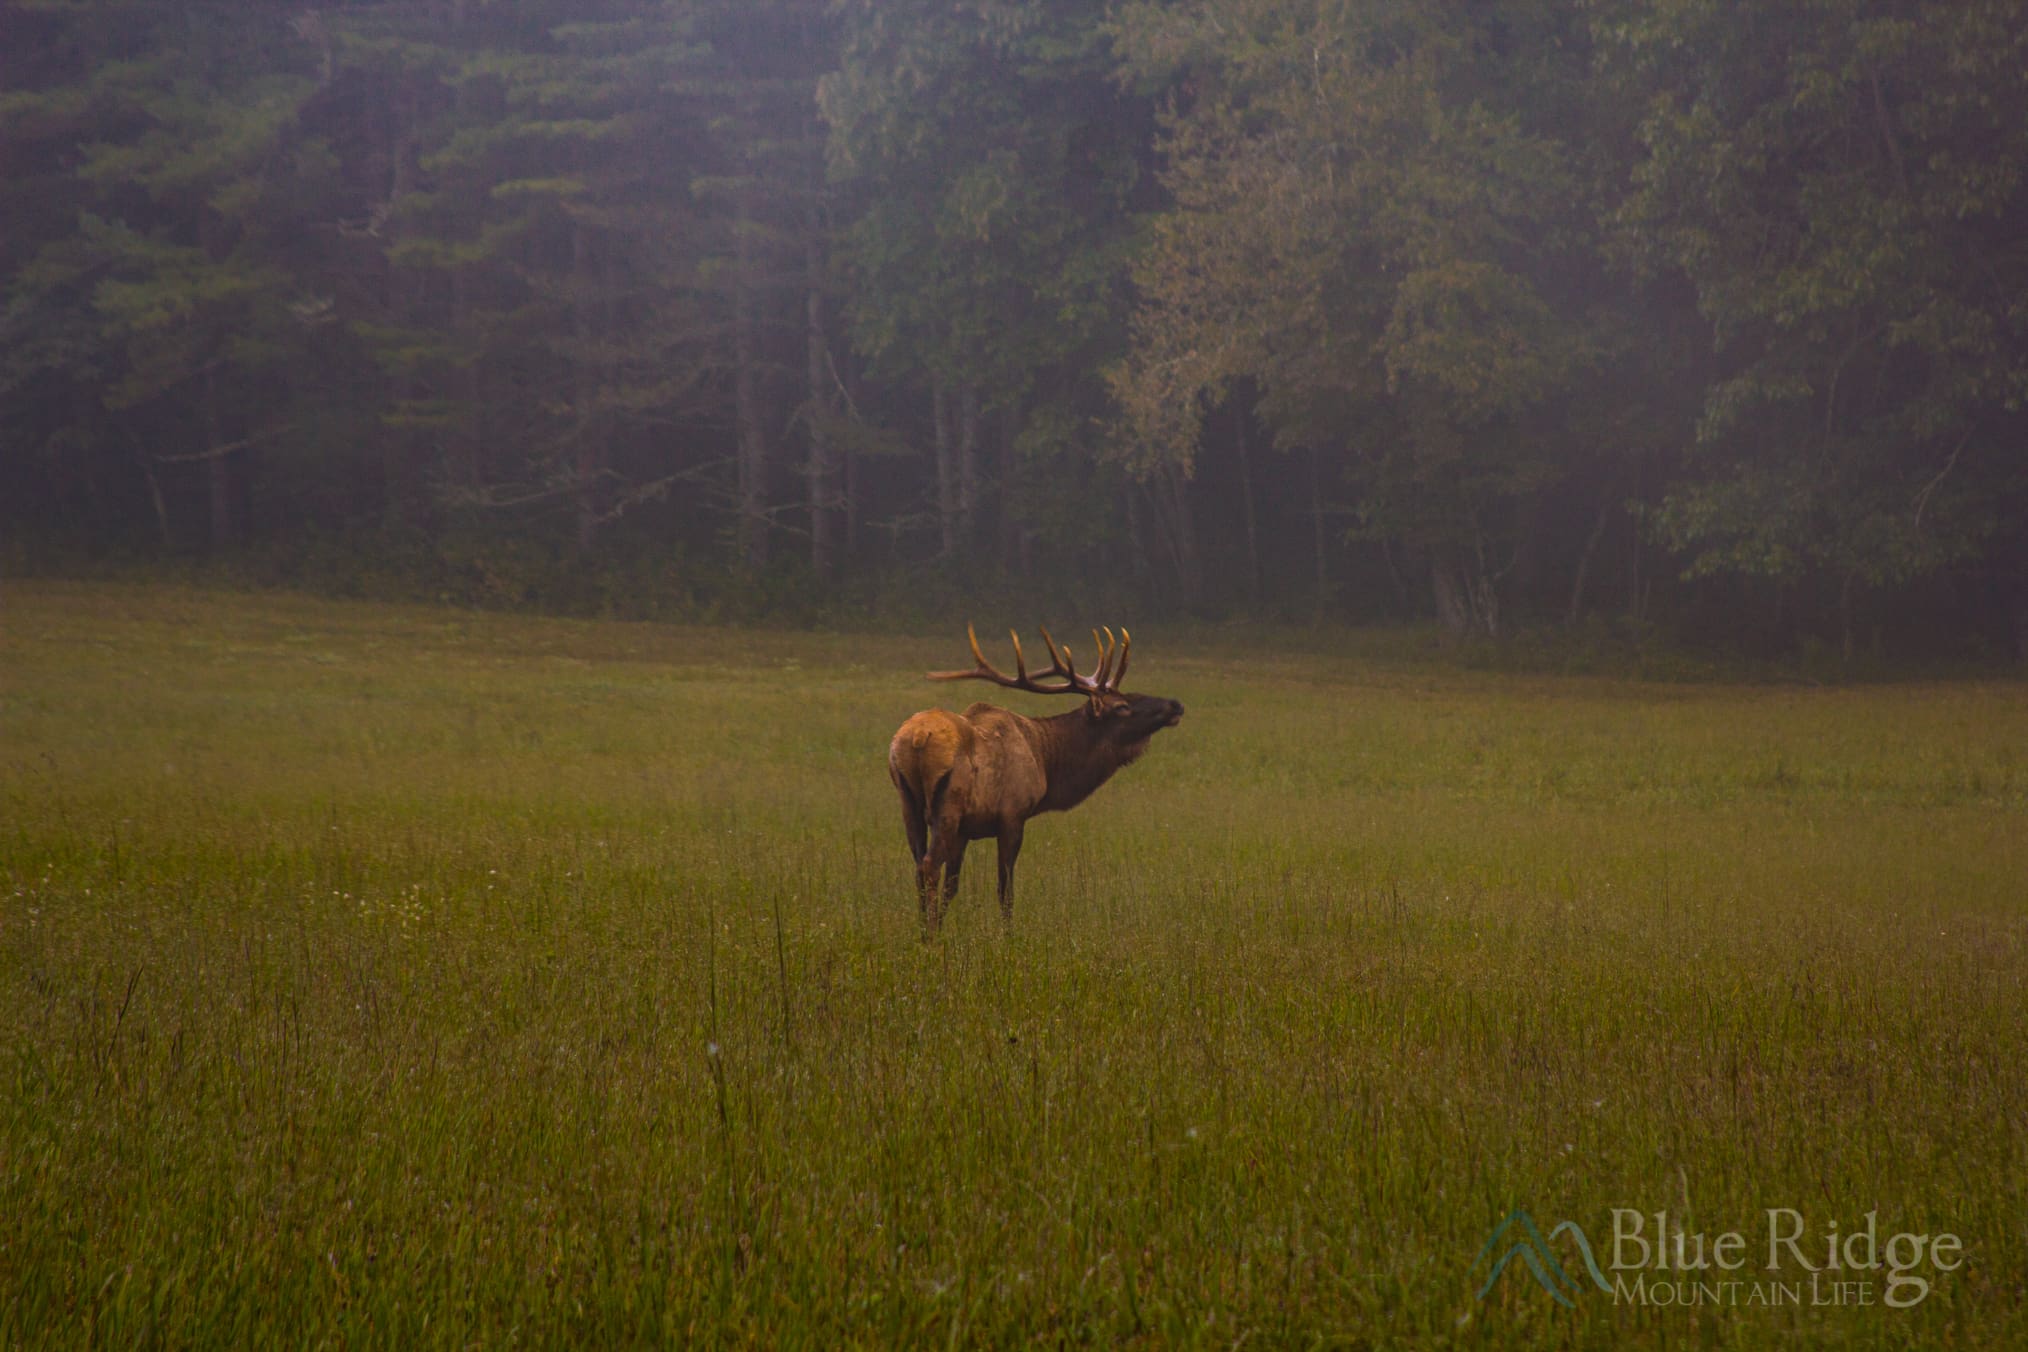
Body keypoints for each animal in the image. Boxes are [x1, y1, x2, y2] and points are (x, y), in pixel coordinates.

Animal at [888, 624, 1185, 934]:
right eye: (1122, 706)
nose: (1175, 704)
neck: (1045, 760)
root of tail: (917, 738)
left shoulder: (965, 830)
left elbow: (952, 886)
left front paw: (939, 929)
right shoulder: (1012, 815)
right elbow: (1005, 890)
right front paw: (1008, 937)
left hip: (909, 803)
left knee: (919, 867)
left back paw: (924, 933)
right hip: (948, 806)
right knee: (929, 866)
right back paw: (929, 937)